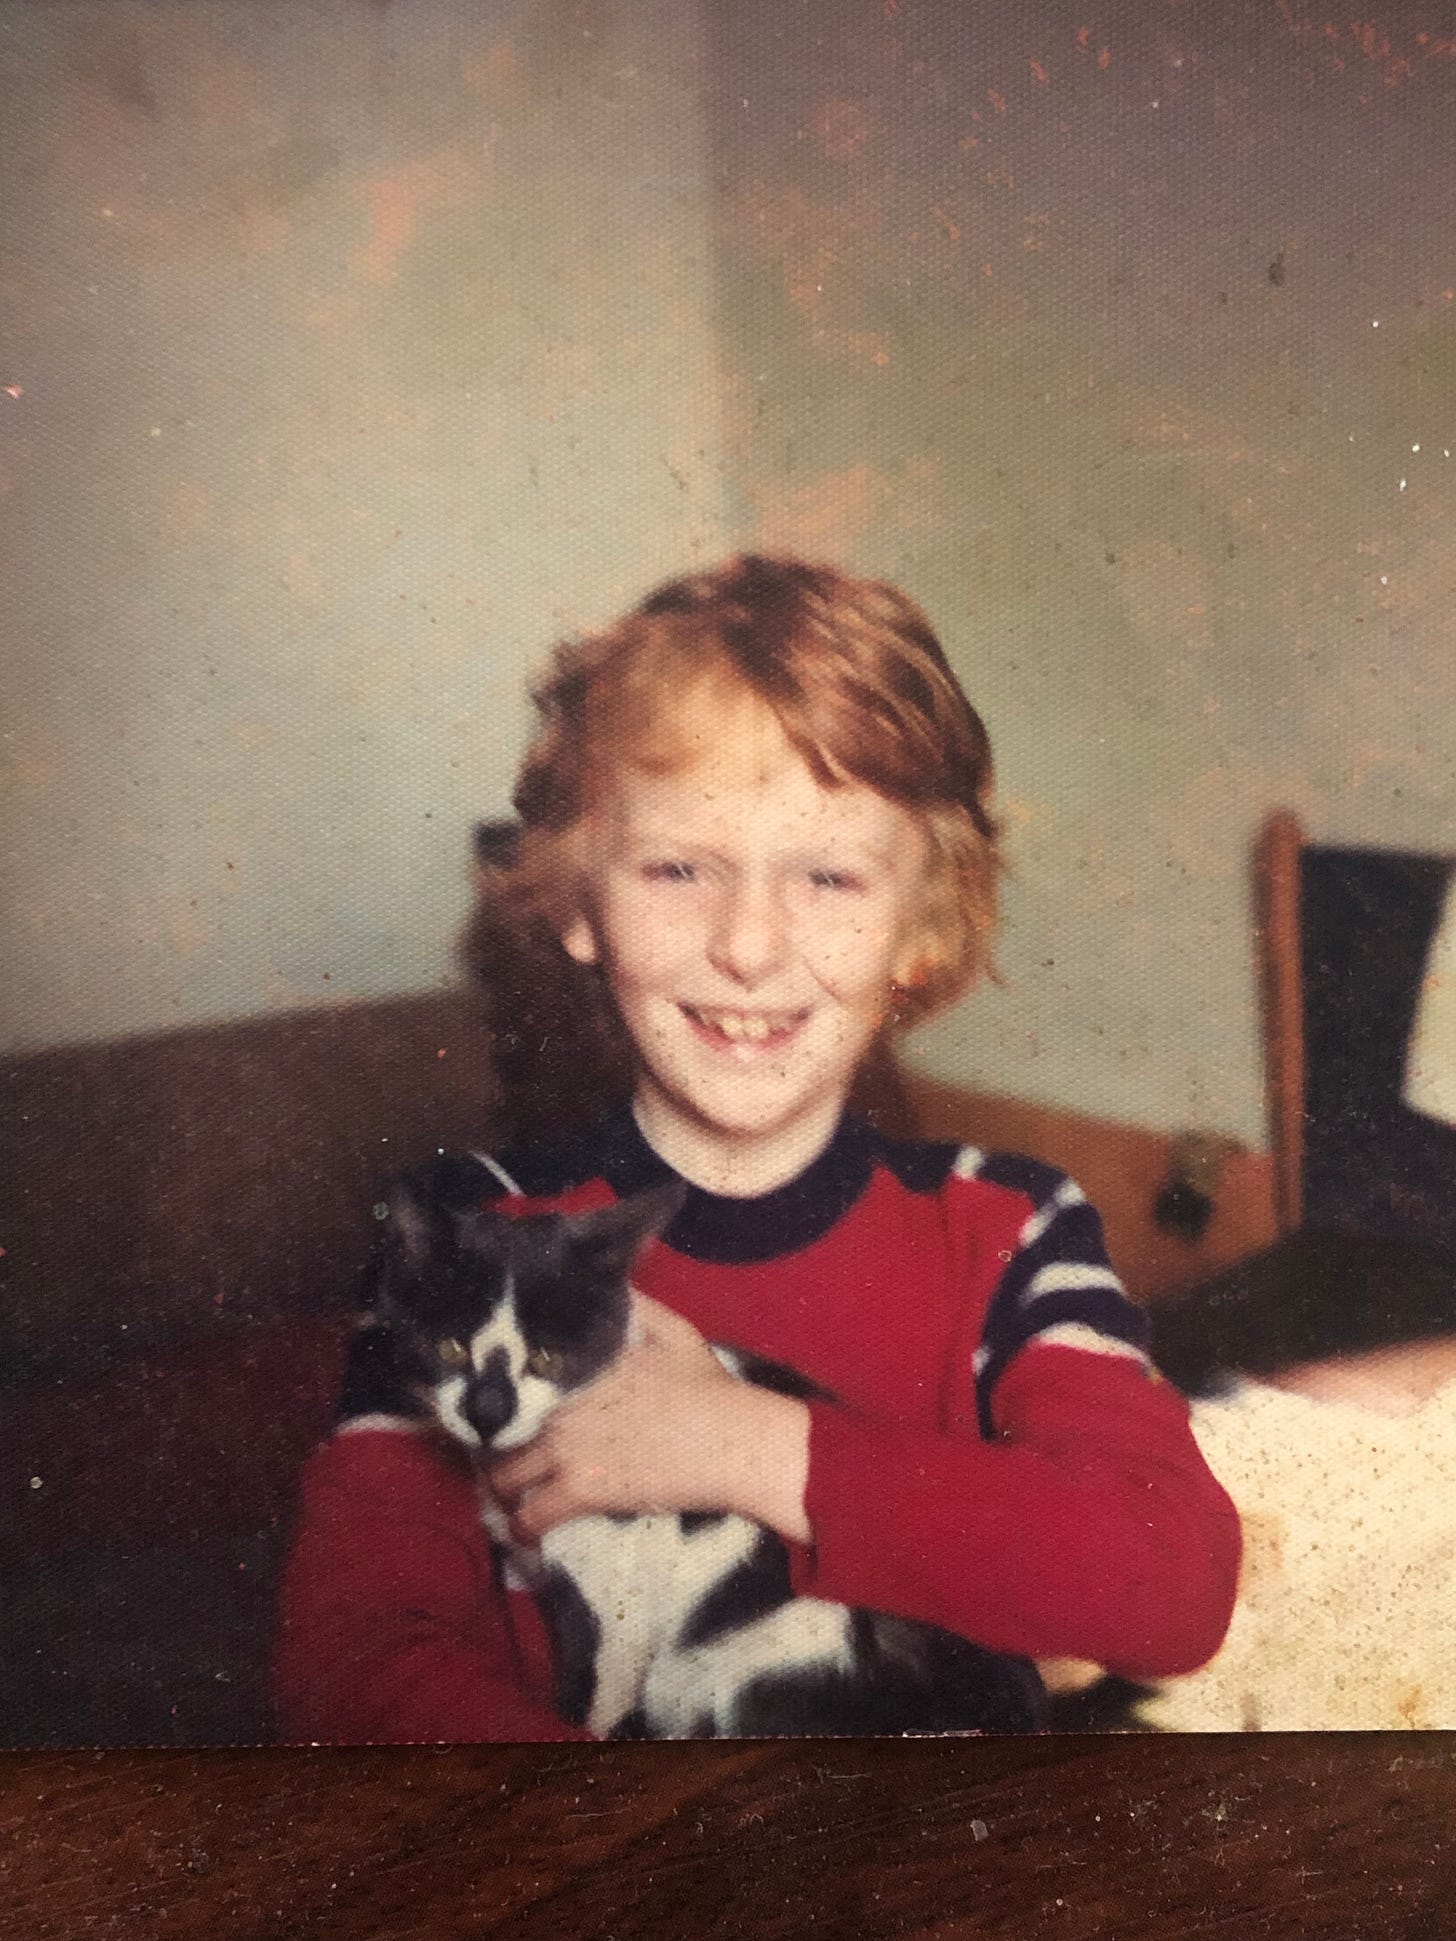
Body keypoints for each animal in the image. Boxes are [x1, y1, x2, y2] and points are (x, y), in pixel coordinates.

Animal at [346, 1155, 1045, 1740]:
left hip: (767, 1656)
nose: (487, 1414)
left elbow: (596, 1694)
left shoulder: (614, 1589)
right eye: (449, 1348)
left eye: (548, 1358)